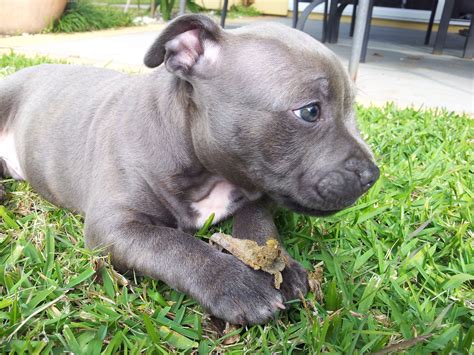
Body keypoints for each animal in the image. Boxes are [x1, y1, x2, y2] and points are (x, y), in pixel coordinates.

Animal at [0, 14, 378, 326]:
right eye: (310, 111)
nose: (372, 176)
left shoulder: (257, 190)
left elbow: (258, 223)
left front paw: (280, 266)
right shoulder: (115, 227)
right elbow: (175, 245)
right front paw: (236, 285)